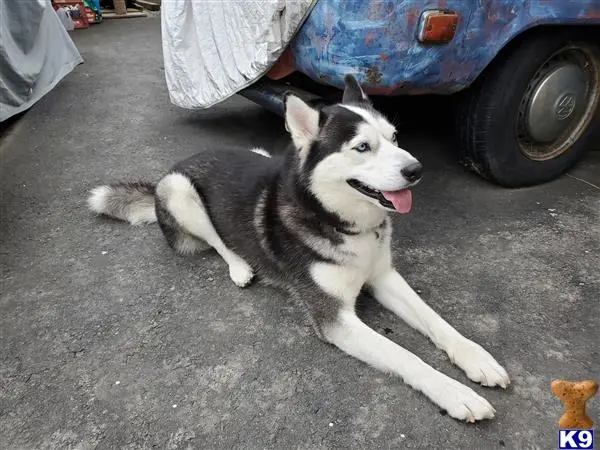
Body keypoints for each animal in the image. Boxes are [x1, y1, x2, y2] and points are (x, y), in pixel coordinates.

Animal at [89, 74, 508, 422]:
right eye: (363, 147)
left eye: (394, 137)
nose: (416, 170)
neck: (341, 222)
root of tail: (183, 160)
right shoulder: (335, 319)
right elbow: (406, 356)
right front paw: (456, 393)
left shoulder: (384, 276)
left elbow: (435, 320)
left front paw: (476, 358)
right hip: (180, 192)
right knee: (218, 240)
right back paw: (240, 267)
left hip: (257, 153)